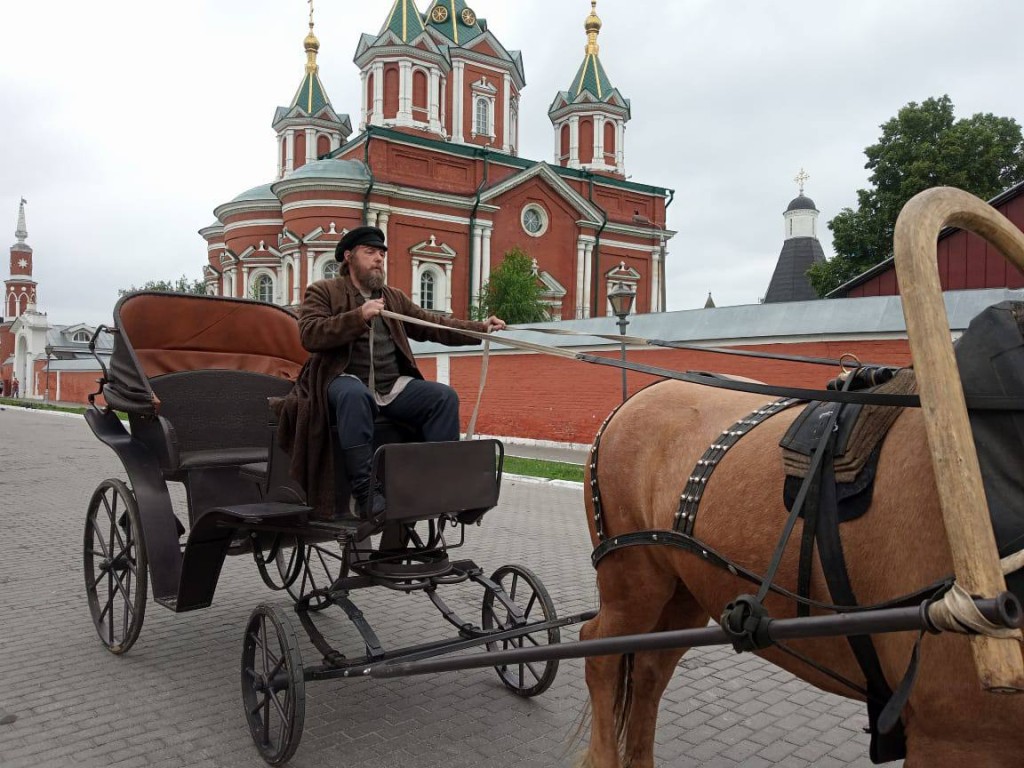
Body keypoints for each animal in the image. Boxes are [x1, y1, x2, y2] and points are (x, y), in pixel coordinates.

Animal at [581, 191, 1024, 768]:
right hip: (632, 581)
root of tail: (638, 396)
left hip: (682, 587)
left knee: (651, 670)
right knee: (600, 655)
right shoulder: (954, 735)